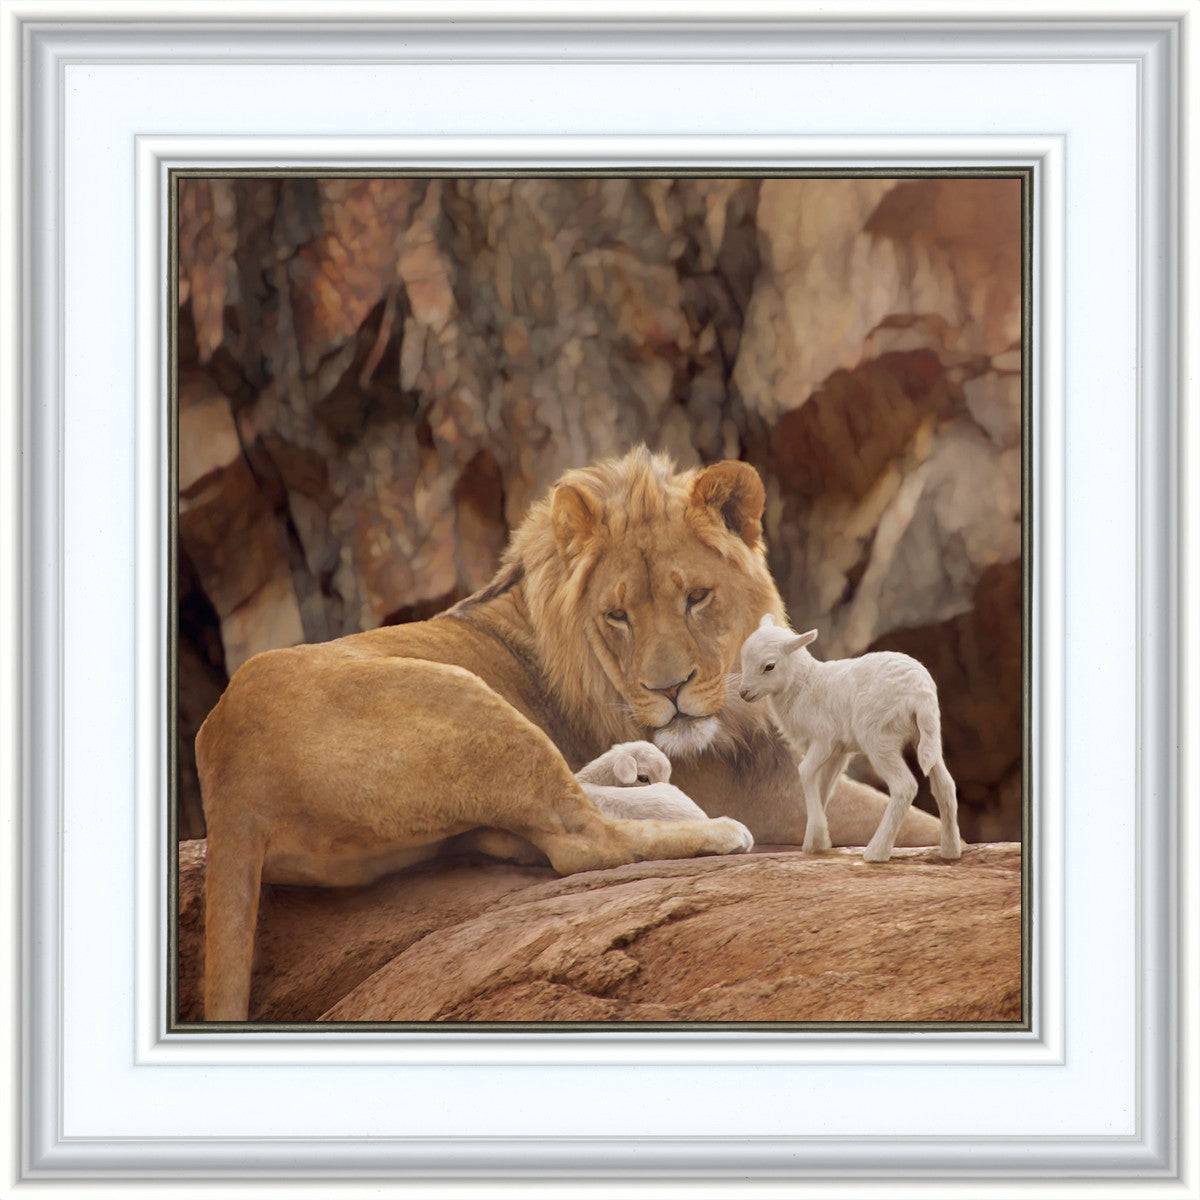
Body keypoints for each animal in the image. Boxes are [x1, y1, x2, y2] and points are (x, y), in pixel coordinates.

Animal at [196, 448, 940, 1020]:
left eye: (696, 597)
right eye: (618, 616)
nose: (670, 691)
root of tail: (226, 774)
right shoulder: (768, 793)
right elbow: (915, 818)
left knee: (541, 821)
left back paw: (639, 770)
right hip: (464, 699)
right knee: (580, 840)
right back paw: (709, 828)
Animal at [738, 615, 962, 863]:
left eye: (769, 666)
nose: (743, 693)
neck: (804, 685)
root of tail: (920, 693)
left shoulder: (823, 739)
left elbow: (805, 772)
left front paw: (817, 838)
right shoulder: (838, 751)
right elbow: (824, 786)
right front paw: (817, 841)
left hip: (879, 737)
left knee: (904, 786)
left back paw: (876, 852)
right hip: (927, 735)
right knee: (945, 785)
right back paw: (951, 850)